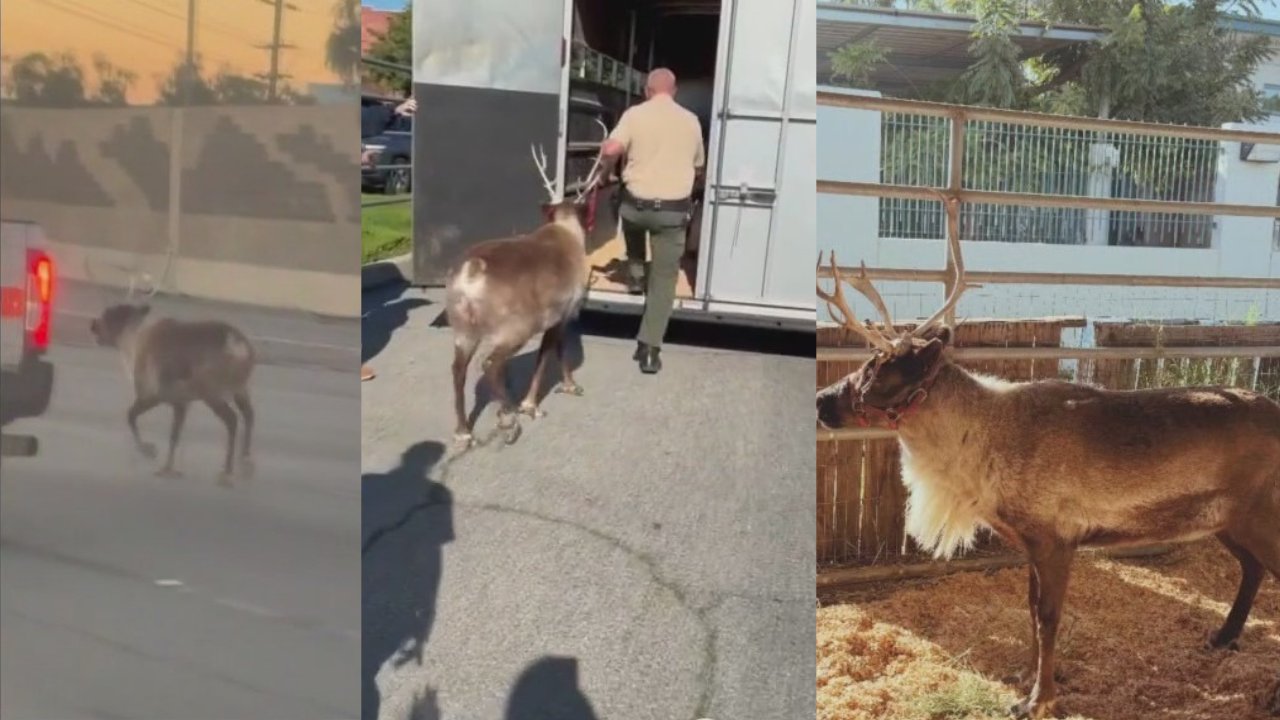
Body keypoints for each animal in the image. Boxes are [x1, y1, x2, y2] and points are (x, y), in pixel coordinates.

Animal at [90, 301, 257, 486]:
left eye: (109, 314)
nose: (93, 325)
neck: (133, 341)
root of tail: (240, 346)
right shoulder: (182, 403)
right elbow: (175, 435)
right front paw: (168, 468)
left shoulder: (157, 395)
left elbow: (132, 416)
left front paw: (150, 451)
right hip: (240, 389)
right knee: (249, 414)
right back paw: (246, 460)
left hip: (211, 393)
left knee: (232, 420)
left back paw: (227, 471)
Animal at [445, 124, 608, 450]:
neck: (568, 232)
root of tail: (471, 271)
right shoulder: (563, 312)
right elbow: (551, 352)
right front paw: (540, 400)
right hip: (515, 326)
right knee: (490, 363)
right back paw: (508, 416)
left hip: (462, 326)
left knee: (458, 369)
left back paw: (464, 431)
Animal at [815, 192, 1280, 720]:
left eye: (877, 369)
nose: (822, 401)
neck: (980, 448)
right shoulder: (1029, 542)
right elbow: (1029, 608)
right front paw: (1024, 678)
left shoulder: (1057, 539)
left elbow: (1049, 617)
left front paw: (1039, 699)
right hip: (1229, 520)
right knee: (1251, 568)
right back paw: (1222, 637)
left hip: (1261, 516)